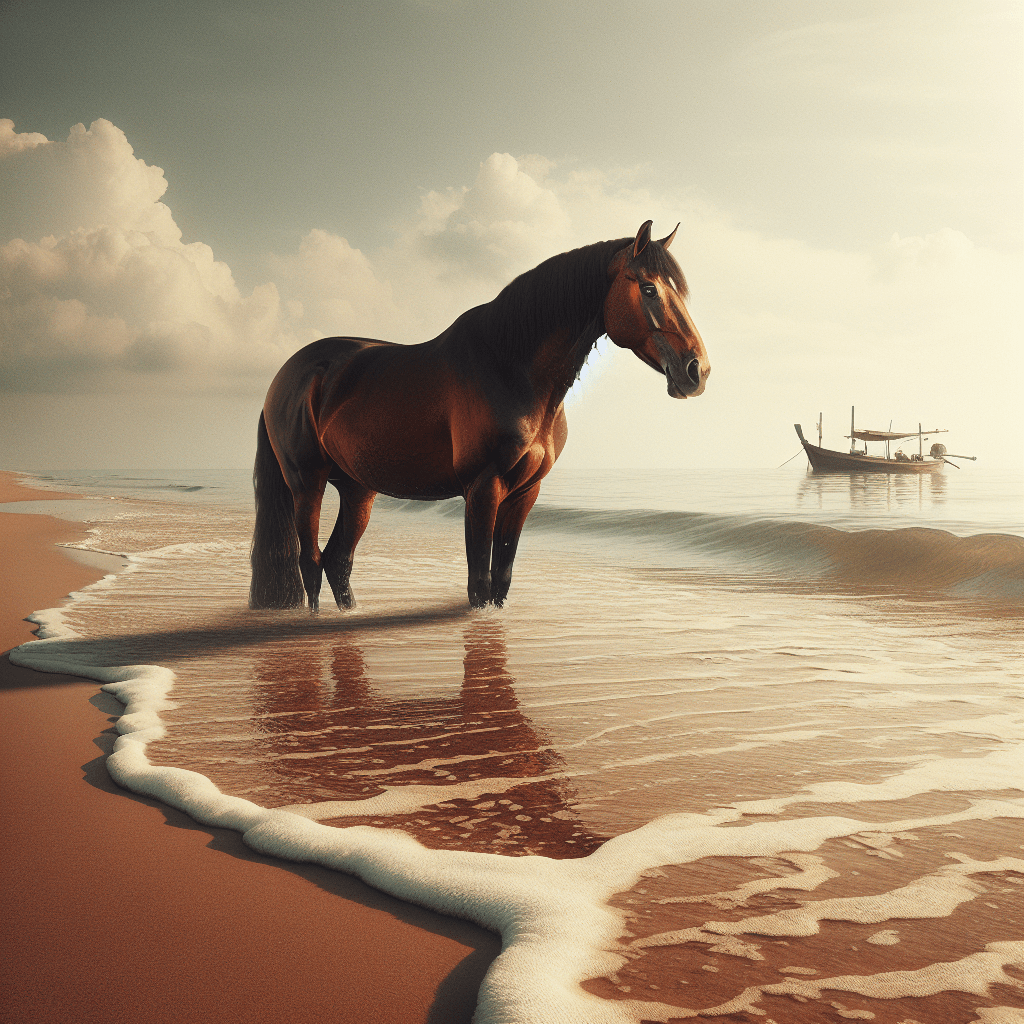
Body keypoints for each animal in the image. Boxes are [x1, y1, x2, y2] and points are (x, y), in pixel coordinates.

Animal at [249, 220, 709, 611]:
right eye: (648, 289)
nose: (697, 371)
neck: (509, 368)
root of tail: (287, 375)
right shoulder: (483, 488)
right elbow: (479, 583)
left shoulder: (525, 493)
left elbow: (501, 578)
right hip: (307, 483)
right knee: (310, 561)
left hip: (359, 489)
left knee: (337, 560)